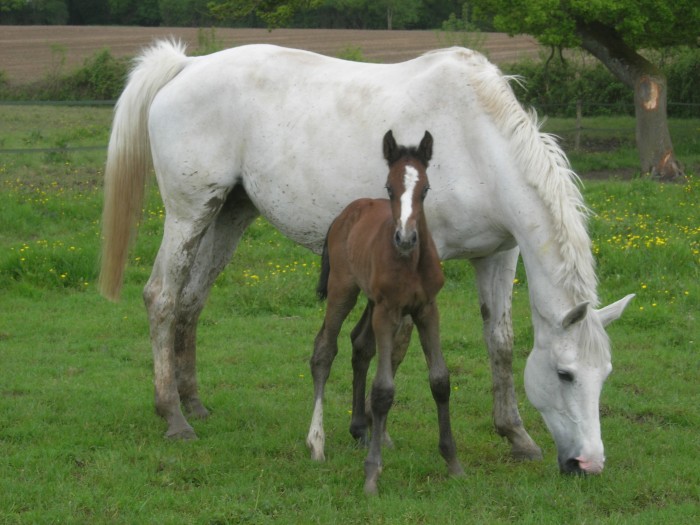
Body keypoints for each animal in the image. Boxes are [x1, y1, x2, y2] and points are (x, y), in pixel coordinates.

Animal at [100, 40, 636, 474]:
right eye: (565, 374)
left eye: (606, 375)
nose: (589, 464)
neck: (477, 142)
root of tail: (187, 65)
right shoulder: (412, 270)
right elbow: (393, 347)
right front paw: (378, 434)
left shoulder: (499, 255)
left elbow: (499, 343)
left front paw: (517, 436)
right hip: (188, 213)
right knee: (162, 298)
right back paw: (173, 415)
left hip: (228, 214)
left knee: (191, 302)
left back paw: (194, 403)